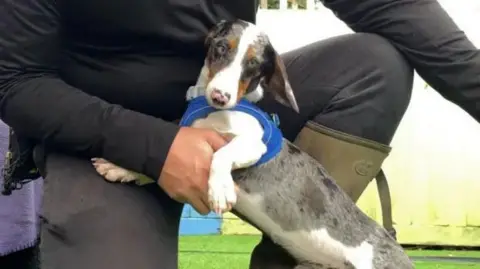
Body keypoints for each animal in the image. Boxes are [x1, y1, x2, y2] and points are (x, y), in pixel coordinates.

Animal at [92, 19, 414, 268]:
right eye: (222, 48)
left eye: (254, 65)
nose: (220, 96)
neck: (212, 111)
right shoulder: (185, 138)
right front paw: (119, 168)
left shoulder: (253, 144)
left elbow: (221, 154)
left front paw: (219, 189)